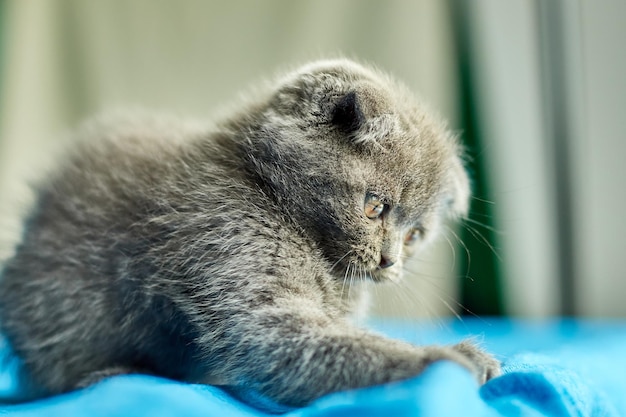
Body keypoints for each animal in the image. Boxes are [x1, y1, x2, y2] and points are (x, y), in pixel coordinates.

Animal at [0, 58, 498, 406]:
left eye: (415, 236)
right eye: (374, 206)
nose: (390, 261)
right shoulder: (227, 249)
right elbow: (304, 344)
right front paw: (447, 358)